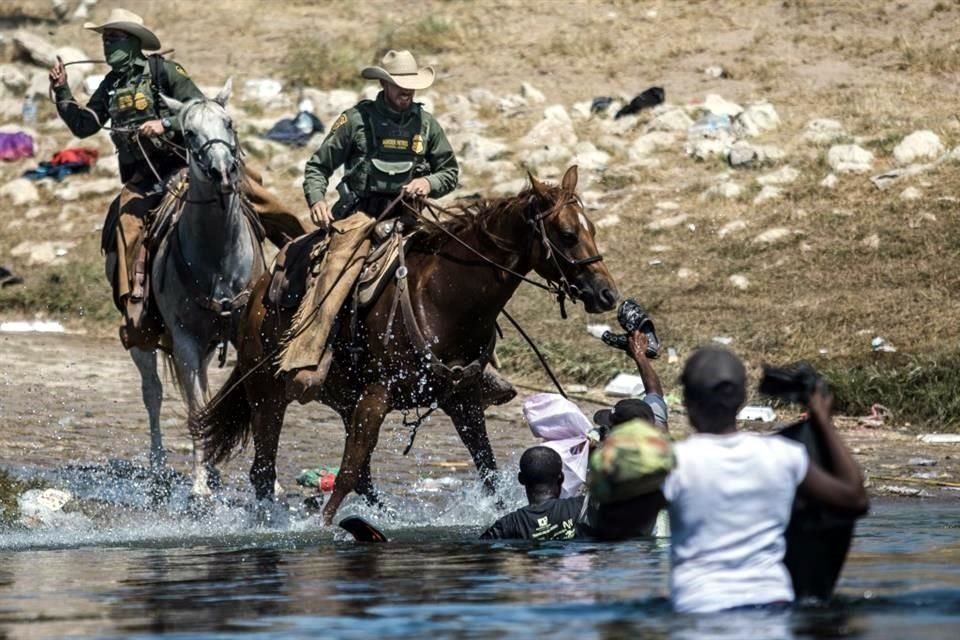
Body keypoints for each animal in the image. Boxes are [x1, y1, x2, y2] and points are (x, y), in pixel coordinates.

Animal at [128, 80, 266, 498]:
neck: (218, 258)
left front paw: (270, 483)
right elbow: (194, 410)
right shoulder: (185, 341)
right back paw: (160, 468)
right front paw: (200, 485)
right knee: (153, 393)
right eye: (189, 133)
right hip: (143, 340)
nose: (223, 171)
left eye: (229, 122)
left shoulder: (243, 334)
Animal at [195, 166, 620, 524]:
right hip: (267, 394)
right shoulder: (377, 396)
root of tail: (258, 292)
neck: (444, 298)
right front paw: (323, 526)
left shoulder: (462, 400)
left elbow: (487, 469)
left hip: (343, 399)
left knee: (360, 475)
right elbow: (346, 472)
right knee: (264, 470)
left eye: (593, 230)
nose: (607, 294)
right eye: (567, 234)